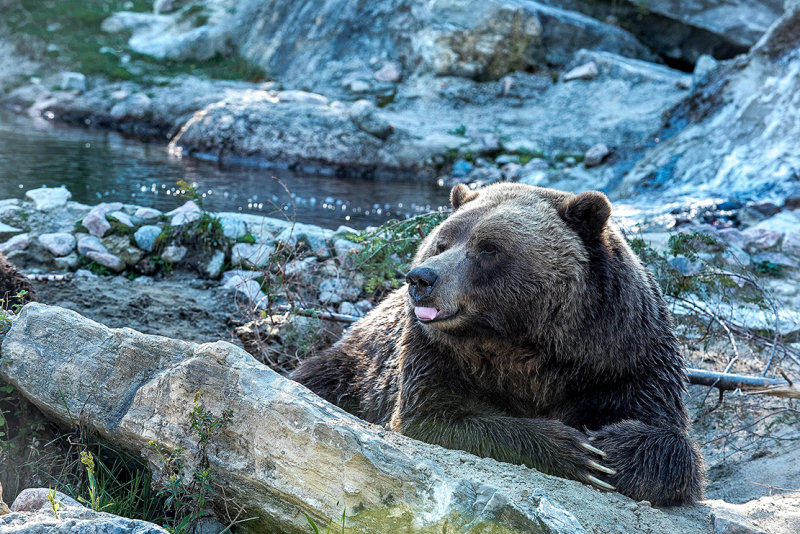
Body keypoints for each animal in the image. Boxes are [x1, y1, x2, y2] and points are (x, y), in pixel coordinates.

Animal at [292, 183, 700, 506]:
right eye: (442, 242)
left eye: (488, 247)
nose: (421, 278)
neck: (522, 339)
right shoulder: (434, 353)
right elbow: (435, 416)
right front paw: (577, 450)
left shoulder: (624, 357)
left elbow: (671, 442)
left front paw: (609, 448)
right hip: (353, 369)